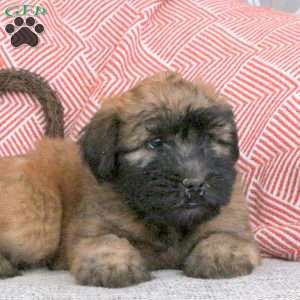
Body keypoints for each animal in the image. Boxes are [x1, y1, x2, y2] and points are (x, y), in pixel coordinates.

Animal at [60, 71, 260, 288]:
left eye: (207, 138)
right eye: (155, 143)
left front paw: (220, 256)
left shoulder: (232, 221)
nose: (195, 185)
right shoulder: (93, 227)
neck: (169, 225)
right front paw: (112, 265)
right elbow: (106, 240)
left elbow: (224, 236)